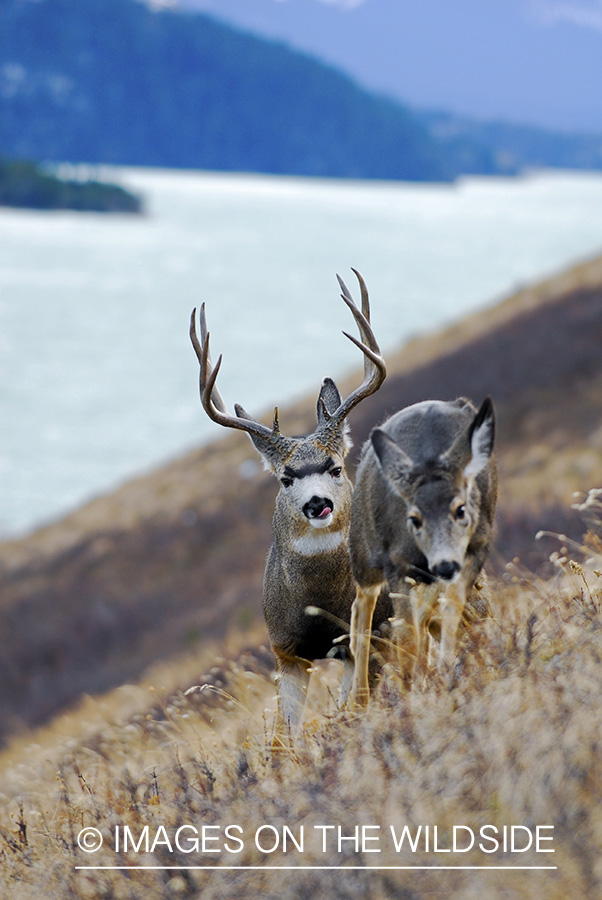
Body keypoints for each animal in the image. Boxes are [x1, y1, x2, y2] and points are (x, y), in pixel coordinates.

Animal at [190, 270, 392, 736]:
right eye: (286, 478)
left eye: (335, 467)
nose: (317, 503)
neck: (316, 607)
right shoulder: (285, 651)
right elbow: (284, 739)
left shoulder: (363, 633)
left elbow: (355, 702)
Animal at [346, 398, 496, 708]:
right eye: (414, 518)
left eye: (460, 509)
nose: (445, 565)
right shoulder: (396, 563)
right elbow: (406, 636)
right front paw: (409, 695)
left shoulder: (477, 548)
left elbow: (451, 611)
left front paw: (445, 673)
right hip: (363, 552)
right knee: (362, 611)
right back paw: (360, 699)